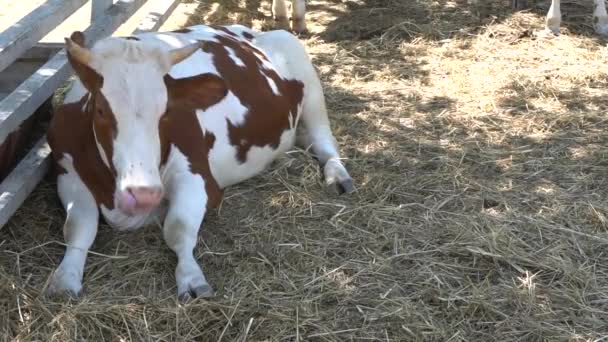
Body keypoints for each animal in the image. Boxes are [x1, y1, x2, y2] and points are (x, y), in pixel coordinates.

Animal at [47, 24, 354, 300]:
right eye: (101, 109)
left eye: (166, 111)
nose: (144, 194)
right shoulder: (67, 174)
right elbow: (78, 228)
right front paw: (65, 278)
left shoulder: (197, 176)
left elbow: (178, 227)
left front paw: (192, 278)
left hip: (310, 85)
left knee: (324, 139)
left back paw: (337, 175)